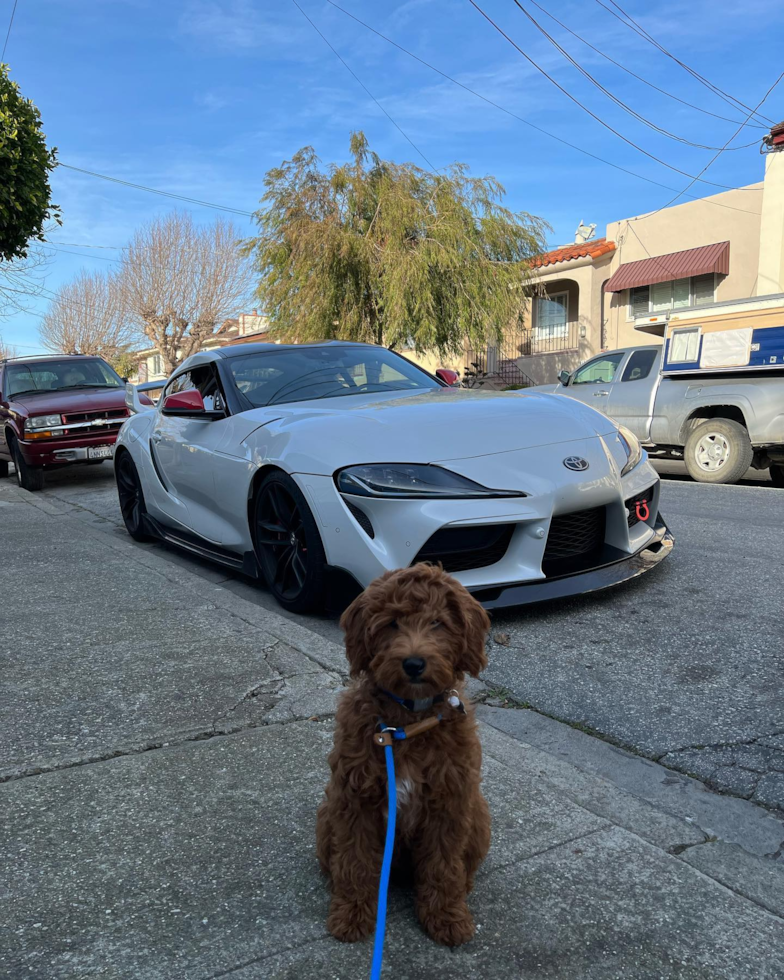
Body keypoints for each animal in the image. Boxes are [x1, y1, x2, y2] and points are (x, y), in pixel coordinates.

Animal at [314, 564, 490, 944]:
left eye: (438, 623)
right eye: (392, 623)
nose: (413, 663)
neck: (407, 723)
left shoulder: (450, 801)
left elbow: (443, 864)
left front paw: (446, 916)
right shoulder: (354, 799)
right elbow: (355, 860)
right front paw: (352, 913)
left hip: (479, 814)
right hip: (326, 814)